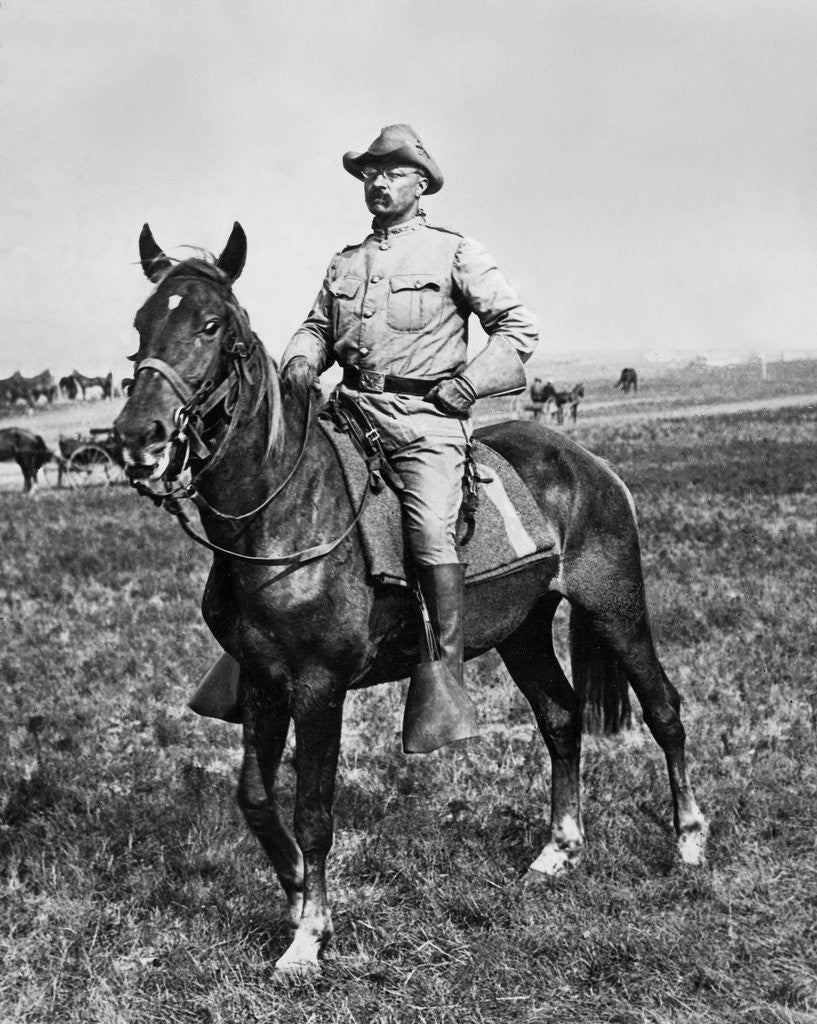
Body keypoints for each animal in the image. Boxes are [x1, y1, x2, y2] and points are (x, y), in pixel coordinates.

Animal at [115, 222, 708, 974]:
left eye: (211, 325)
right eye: (142, 322)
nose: (136, 438)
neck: (283, 515)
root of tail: (589, 464)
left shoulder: (318, 686)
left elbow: (313, 809)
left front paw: (309, 938)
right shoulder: (261, 679)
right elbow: (254, 797)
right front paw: (296, 897)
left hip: (615, 607)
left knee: (663, 710)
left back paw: (688, 841)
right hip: (522, 632)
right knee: (560, 718)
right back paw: (558, 849)